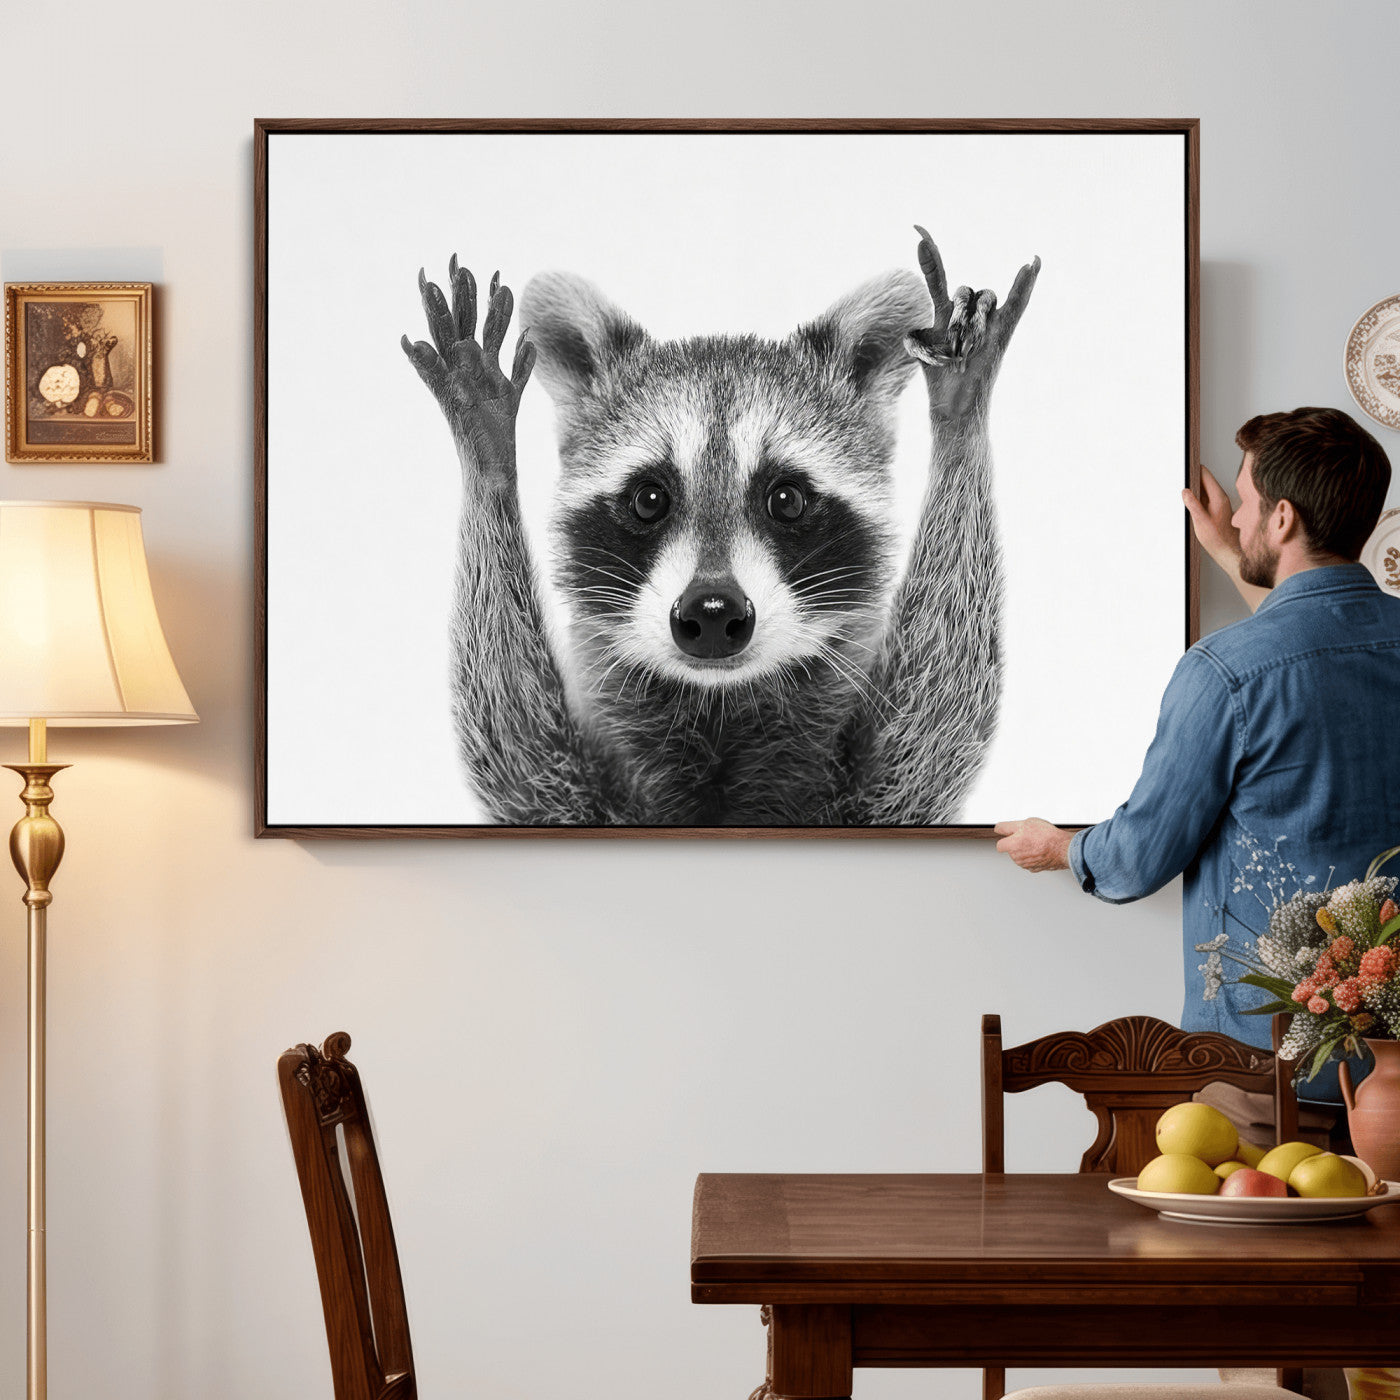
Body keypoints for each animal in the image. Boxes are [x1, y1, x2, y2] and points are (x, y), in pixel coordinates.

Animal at [402, 229, 1039, 826]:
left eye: (786, 500)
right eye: (649, 500)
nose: (711, 612)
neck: (718, 709)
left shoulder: (876, 797)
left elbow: (936, 723)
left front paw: (959, 412)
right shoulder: (574, 796)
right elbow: (516, 752)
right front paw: (487, 450)